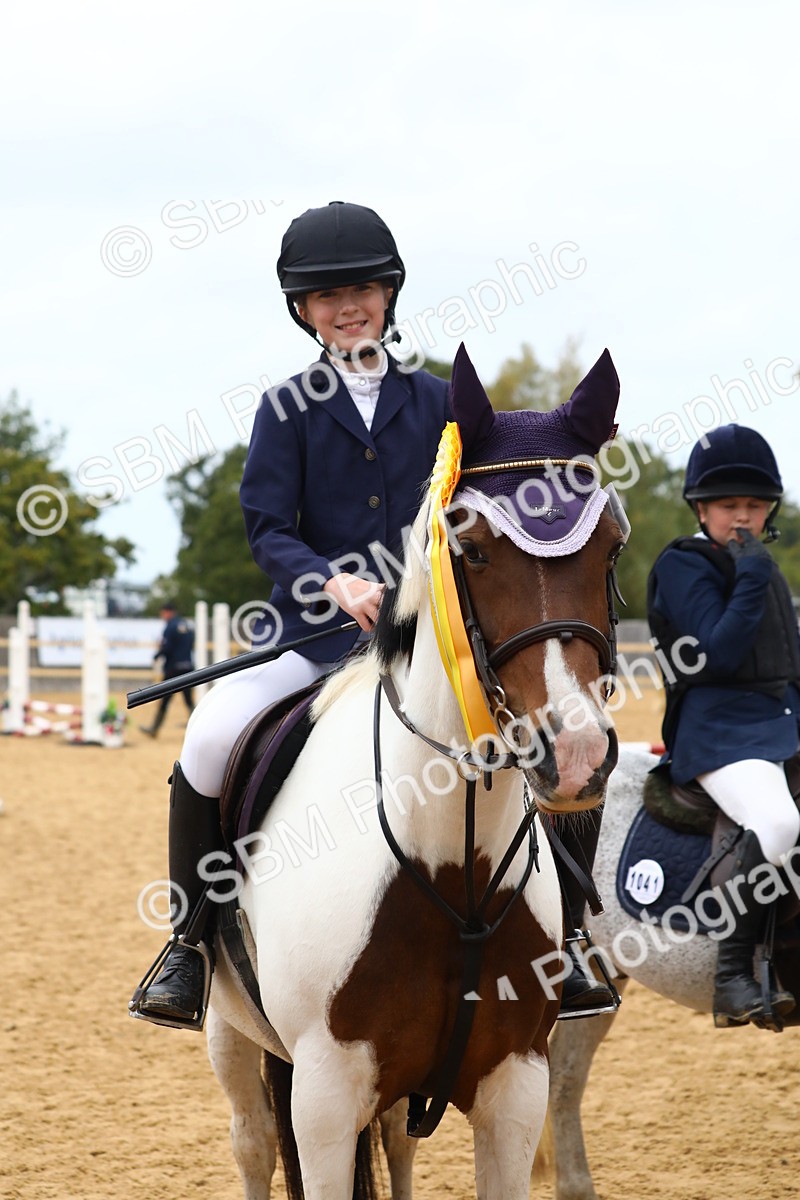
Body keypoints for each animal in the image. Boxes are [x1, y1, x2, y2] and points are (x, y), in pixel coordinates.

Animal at [203, 343, 626, 1199]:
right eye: (472, 546)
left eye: (612, 546)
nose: (572, 754)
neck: (452, 866)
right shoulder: (325, 1098)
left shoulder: (513, 1086)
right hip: (230, 1035)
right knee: (252, 1144)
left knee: (395, 1142)